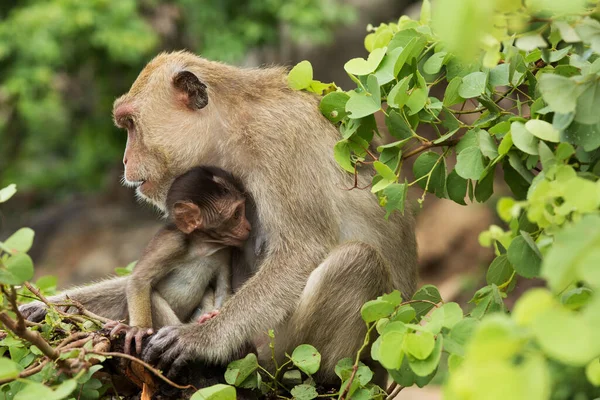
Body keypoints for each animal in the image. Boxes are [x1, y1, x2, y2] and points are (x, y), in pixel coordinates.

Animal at [105, 165, 251, 354]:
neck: (203, 246)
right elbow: (139, 280)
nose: (248, 227)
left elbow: (222, 289)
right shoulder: (172, 243)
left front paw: (213, 315)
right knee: (152, 296)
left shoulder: (224, 253)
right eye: (236, 215)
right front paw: (138, 328)